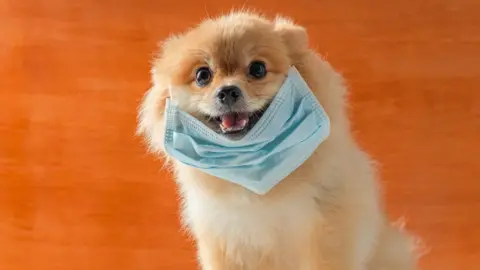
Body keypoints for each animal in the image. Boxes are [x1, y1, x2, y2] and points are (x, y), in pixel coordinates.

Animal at [137, 10, 418, 270]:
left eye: (258, 69)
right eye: (202, 75)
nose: (228, 91)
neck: (256, 177)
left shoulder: (328, 234)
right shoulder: (224, 238)